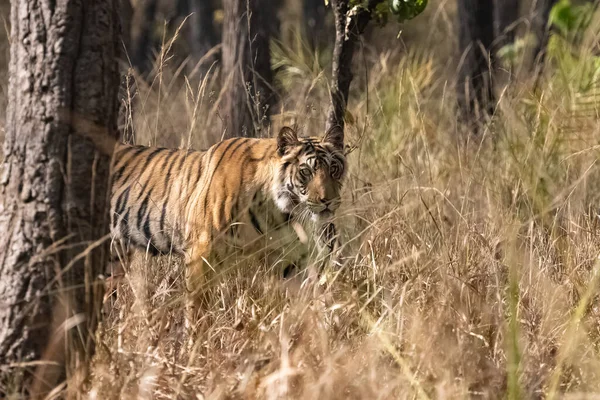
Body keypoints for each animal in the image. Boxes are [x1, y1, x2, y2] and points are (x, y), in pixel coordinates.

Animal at [108, 125, 346, 318]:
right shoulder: (201, 252)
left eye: (334, 169)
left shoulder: (287, 259)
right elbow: (198, 307)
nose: (328, 201)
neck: (278, 212)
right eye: (306, 171)